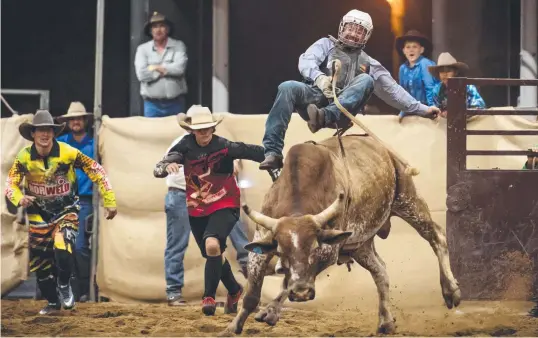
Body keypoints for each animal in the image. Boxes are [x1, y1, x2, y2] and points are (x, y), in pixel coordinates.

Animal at [221, 135, 456, 336]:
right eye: (280, 250)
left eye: (315, 247)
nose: (302, 294)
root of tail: (383, 148)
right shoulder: (260, 243)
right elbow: (252, 294)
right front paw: (233, 327)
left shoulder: (330, 251)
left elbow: (290, 281)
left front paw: (270, 311)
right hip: (360, 244)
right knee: (380, 271)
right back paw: (386, 321)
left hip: (408, 200)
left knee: (437, 237)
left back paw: (451, 291)